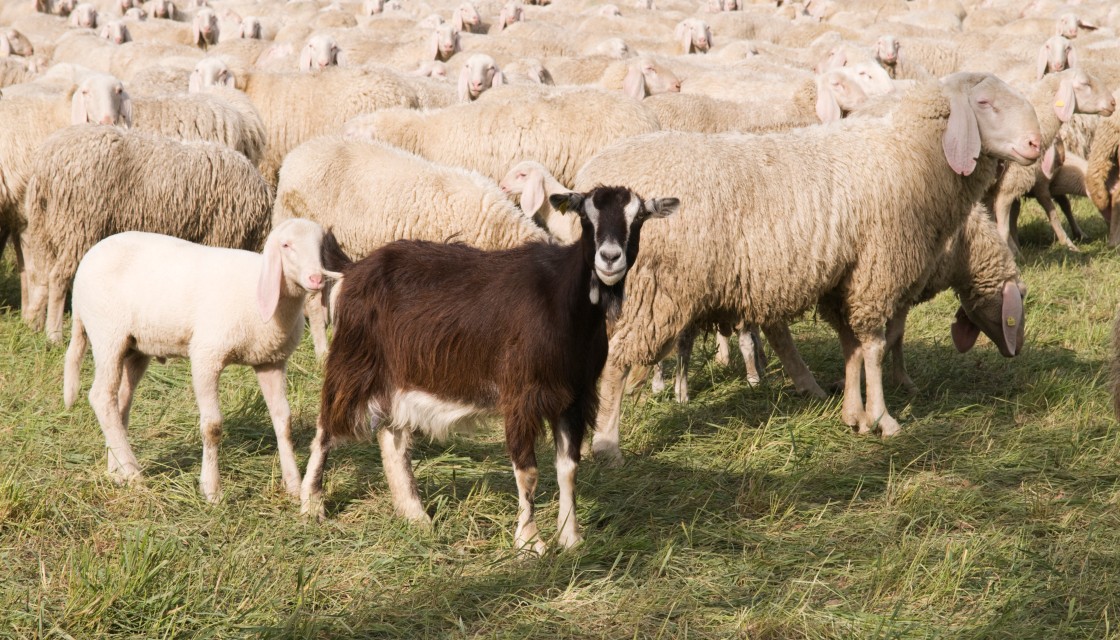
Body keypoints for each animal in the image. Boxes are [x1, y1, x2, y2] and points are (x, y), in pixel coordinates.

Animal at [301, 186, 679, 553]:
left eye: (639, 217)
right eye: (585, 217)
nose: (610, 257)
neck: (562, 302)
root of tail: (355, 269)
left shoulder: (575, 397)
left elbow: (568, 468)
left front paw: (571, 539)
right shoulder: (521, 395)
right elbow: (527, 471)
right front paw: (529, 543)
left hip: (399, 374)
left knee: (393, 438)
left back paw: (415, 514)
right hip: (354, 360)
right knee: (325, 426)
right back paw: (311, 504)